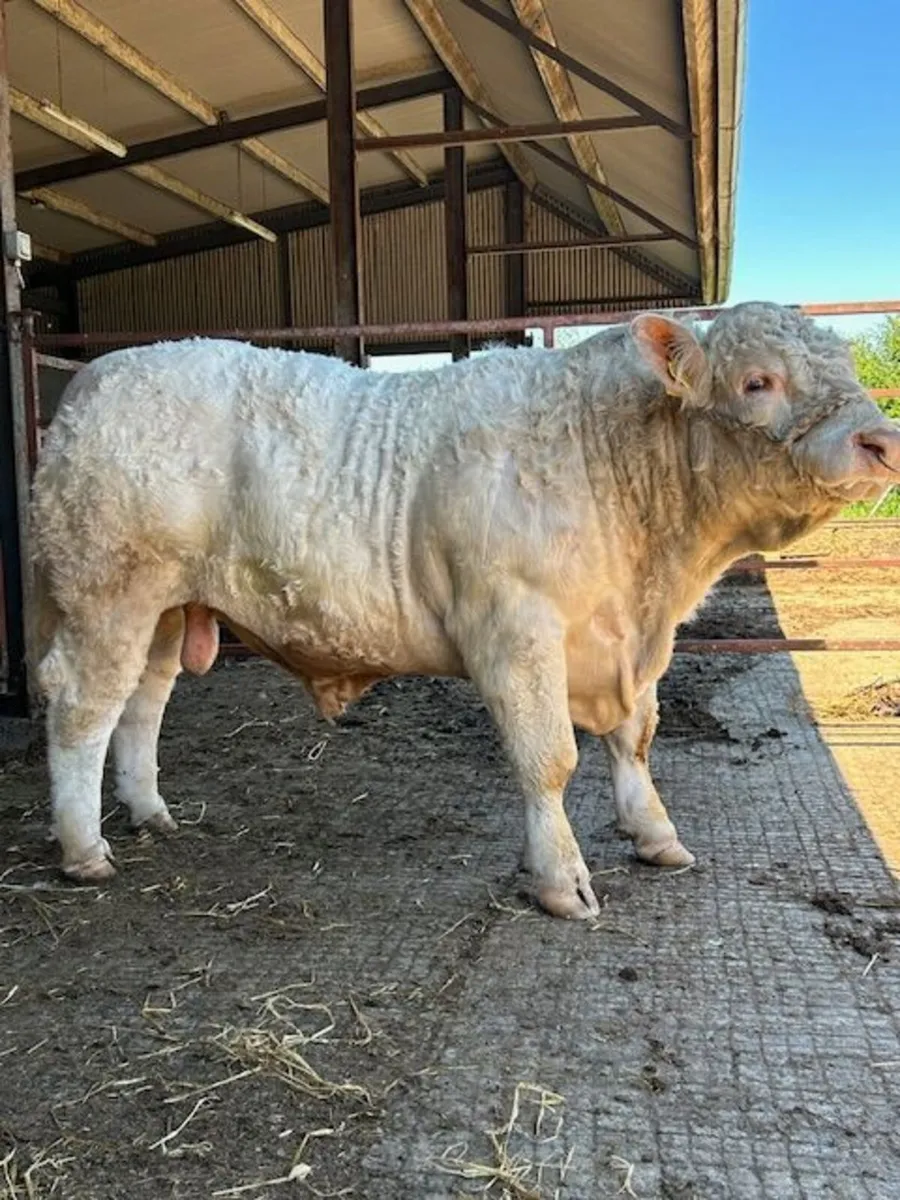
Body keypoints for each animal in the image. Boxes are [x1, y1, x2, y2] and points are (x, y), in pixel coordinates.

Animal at [29, 302, 900, 918]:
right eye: (758, 381)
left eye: (843, 362)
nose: (881, 441)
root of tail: (97, 377)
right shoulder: (514, 629)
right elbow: (550, 759)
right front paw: (560, 879)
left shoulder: (633, 640)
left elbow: (635, 738)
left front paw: (654, 832)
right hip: (109, 593)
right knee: (82, 708)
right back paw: (83, 847)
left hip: (168, 609)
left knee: (142, 704)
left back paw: (148, 811)